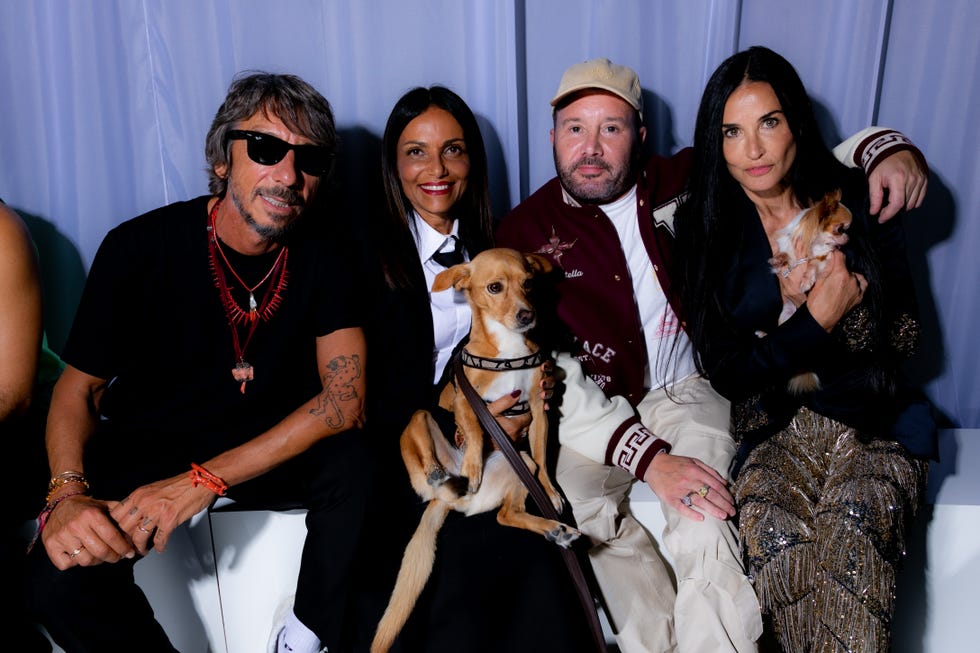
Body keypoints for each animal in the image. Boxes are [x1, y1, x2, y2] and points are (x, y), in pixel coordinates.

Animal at [372, 247, 580, 652]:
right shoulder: (464, 400)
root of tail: (451, 502)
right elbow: (472, 428)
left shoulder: (539, 408)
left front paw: (550, 492)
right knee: (422, 463)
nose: (527, 315)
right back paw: (441, 475)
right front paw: (472, 465)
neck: (508, 350)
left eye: (528, 283)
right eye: (494, 287)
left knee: (507, 514)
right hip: (421, 420)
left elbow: (544, 458)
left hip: (520, 463)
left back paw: (553, 529)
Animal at [768, 188, 852, 392]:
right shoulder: (790, 245)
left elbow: (813, 265)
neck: (816, 242)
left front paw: (806, 281)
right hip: (785, 315)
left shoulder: (825, 258)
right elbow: (786, 254)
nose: (848, 238)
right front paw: (778, 260)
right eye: (841, 229)